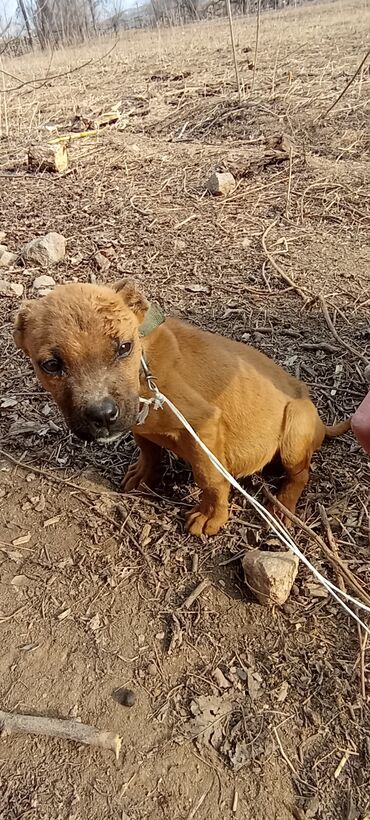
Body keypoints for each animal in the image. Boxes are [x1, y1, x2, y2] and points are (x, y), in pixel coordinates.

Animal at [13, 280, 350, 540]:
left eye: (124, 347)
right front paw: (144, 475)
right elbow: (149, 451)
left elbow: (210, 479)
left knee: (301, 473)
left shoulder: (203, 427)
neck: (144, 370)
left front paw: (211, 515)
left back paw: (283, 504)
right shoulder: (139, 424)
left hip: (295, 428)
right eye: (51, 365)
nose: (102, 415)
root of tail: (320, 422)